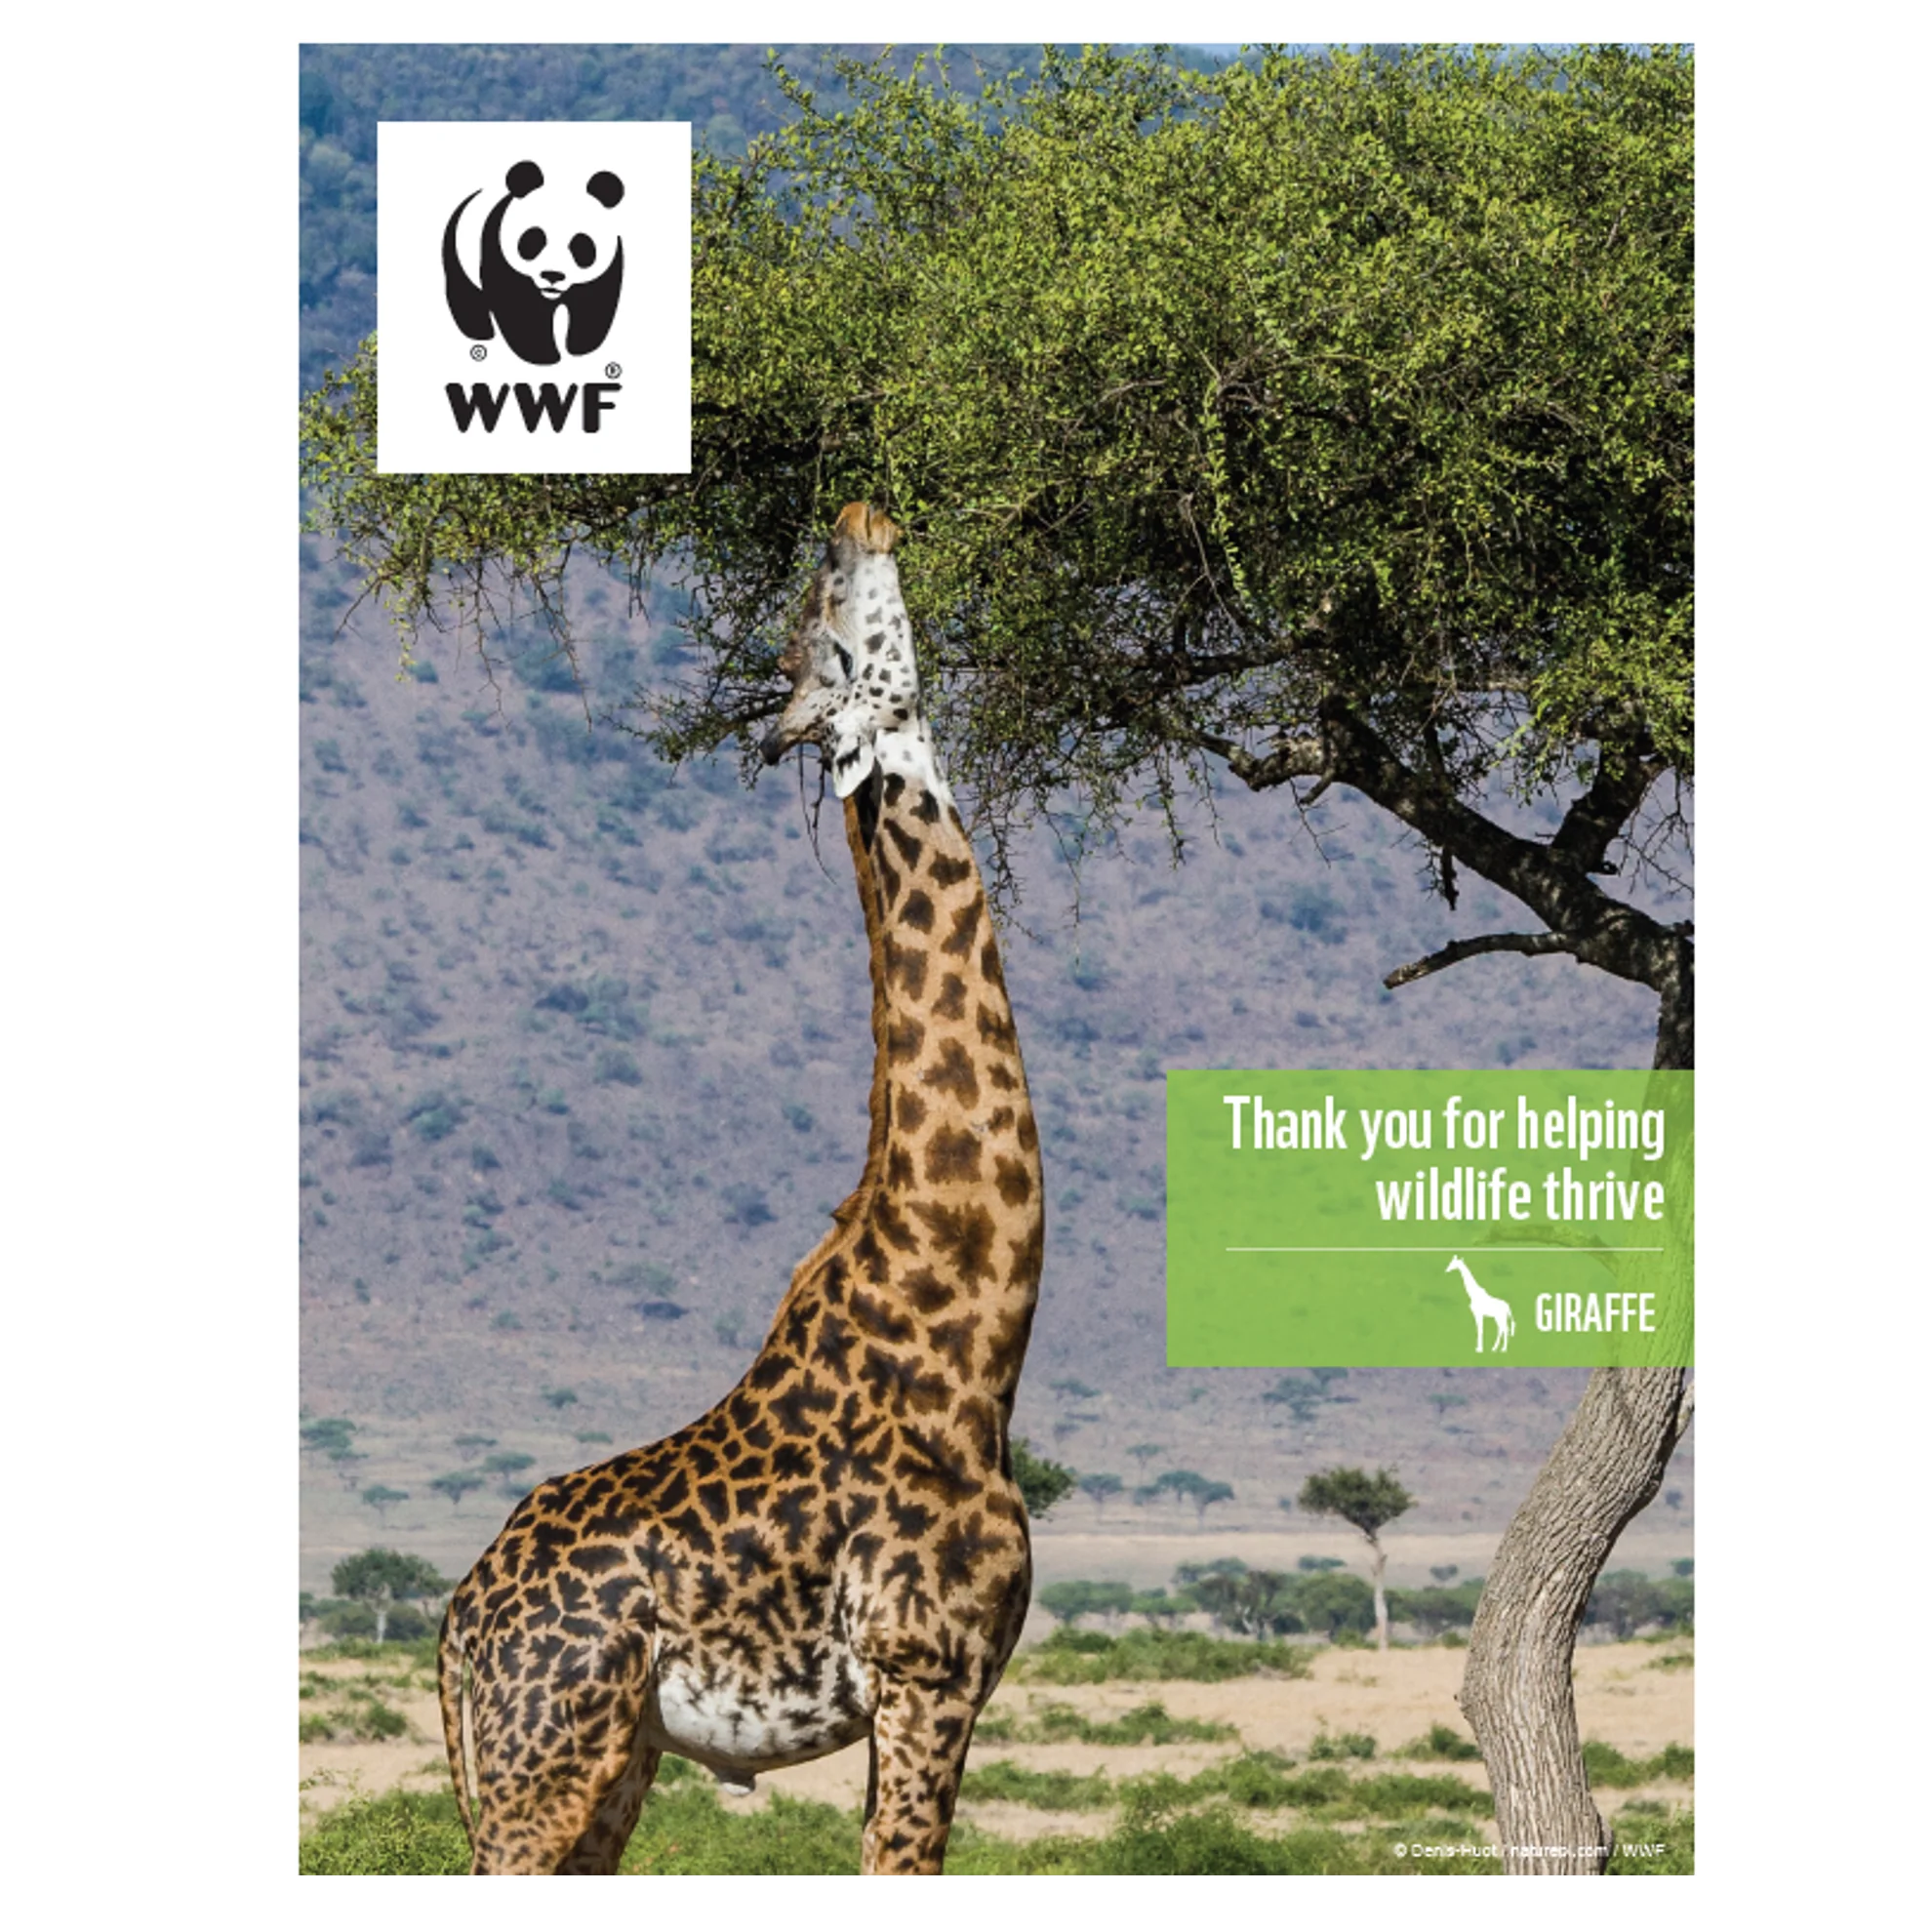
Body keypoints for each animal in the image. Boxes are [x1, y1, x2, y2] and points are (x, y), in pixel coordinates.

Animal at [436, 503, 1045, 1878]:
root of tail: (454, 1625)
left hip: (612, 1764)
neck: (974, 1332)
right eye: (825, 621)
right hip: (539, 1761)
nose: (857, 518)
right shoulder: (927, 1667)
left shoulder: (939, 1688)